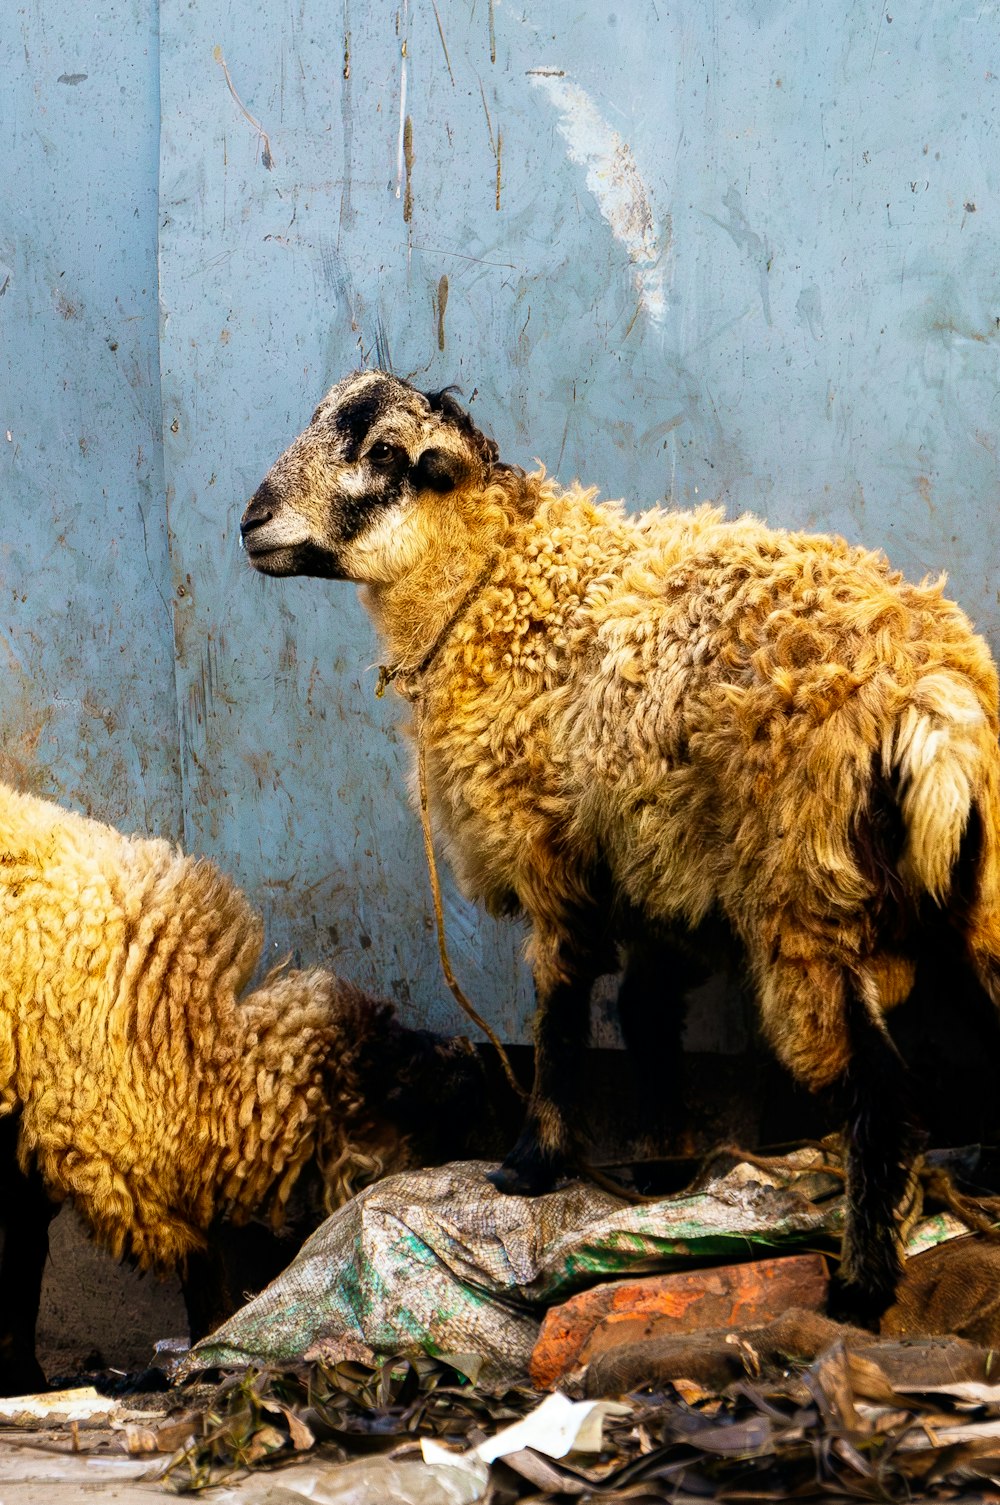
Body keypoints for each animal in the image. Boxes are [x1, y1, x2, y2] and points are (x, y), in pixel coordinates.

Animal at [237, 370, 1000, 1324]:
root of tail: (928, 697)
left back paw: (861, 1290)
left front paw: (531, 1163)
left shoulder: (546, 844)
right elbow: (645, 1019)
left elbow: (561, 1011)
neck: (494, 585)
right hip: (966, 896)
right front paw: (665, 1171)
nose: (252, 521)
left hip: (803, 897)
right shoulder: (655, 868)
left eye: (381, 451)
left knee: (883, 1098)